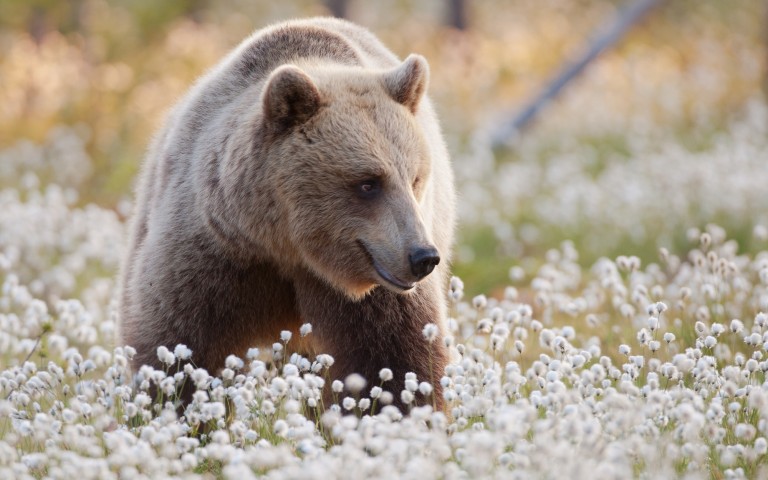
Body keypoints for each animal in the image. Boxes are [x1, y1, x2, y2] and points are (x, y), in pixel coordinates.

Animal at [119, 16, 452, 410]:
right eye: (368, 183)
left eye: (415, 178)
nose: (422, 256)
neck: (286, 245)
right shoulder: (213, 254)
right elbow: (178, 344)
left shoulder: (375, 291)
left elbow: (394, 360)